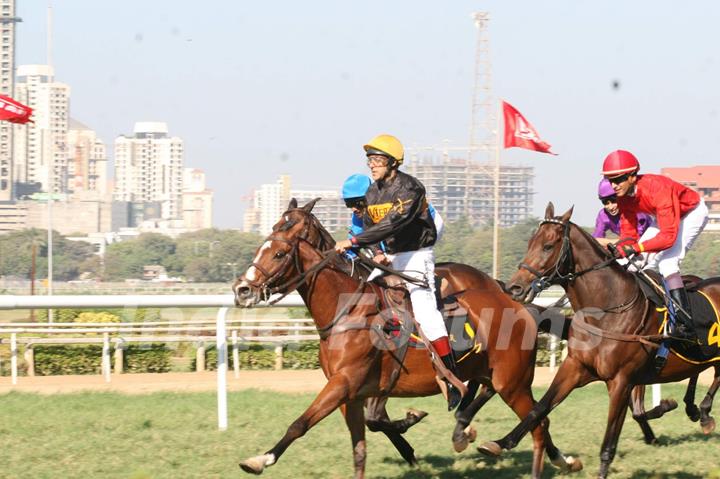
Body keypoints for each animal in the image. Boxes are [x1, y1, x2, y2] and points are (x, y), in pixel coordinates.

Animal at [232, 199, 580, 479]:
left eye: (279, 253)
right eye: (263, 243)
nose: (242, 289)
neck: (347, 308)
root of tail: (518, 306)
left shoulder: (344, 383)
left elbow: (301, 423)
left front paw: (260, 459)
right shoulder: (351, 393)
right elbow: (361, 446)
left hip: (512, 383)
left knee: (538, 423)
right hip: (492, 375)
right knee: (522, 413)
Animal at [478, 203, 720, 479]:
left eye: (548, 246)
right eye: (530, 242)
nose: (514, 288)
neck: (608, 310)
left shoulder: (622, 381)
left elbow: (609, 444)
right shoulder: (575, 367)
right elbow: (539, 408)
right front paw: (499, 443)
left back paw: (703, 412)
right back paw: (696, 409)